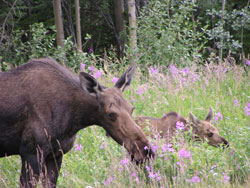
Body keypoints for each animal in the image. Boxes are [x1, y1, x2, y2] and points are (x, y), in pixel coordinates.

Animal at [0, 58, 153, 187]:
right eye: (111, 114)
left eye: (131, 109)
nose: (146, 150)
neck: (73, 121)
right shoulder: (30, 152)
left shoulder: (56, 155)